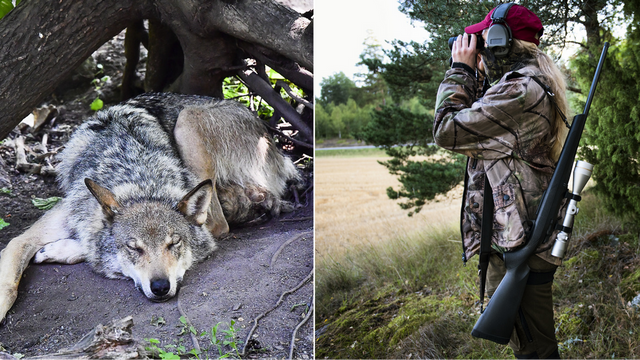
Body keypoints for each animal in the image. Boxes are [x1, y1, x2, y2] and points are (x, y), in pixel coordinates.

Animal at [0, 92, 302, 320]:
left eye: (174, 243)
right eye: (134, 248)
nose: (159, 287)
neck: (139, 179)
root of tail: (275, 145)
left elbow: (90, 246)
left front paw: (67, 249)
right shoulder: (31, 234)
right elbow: (10, 276)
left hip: (187, 122)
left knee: (218, 224)